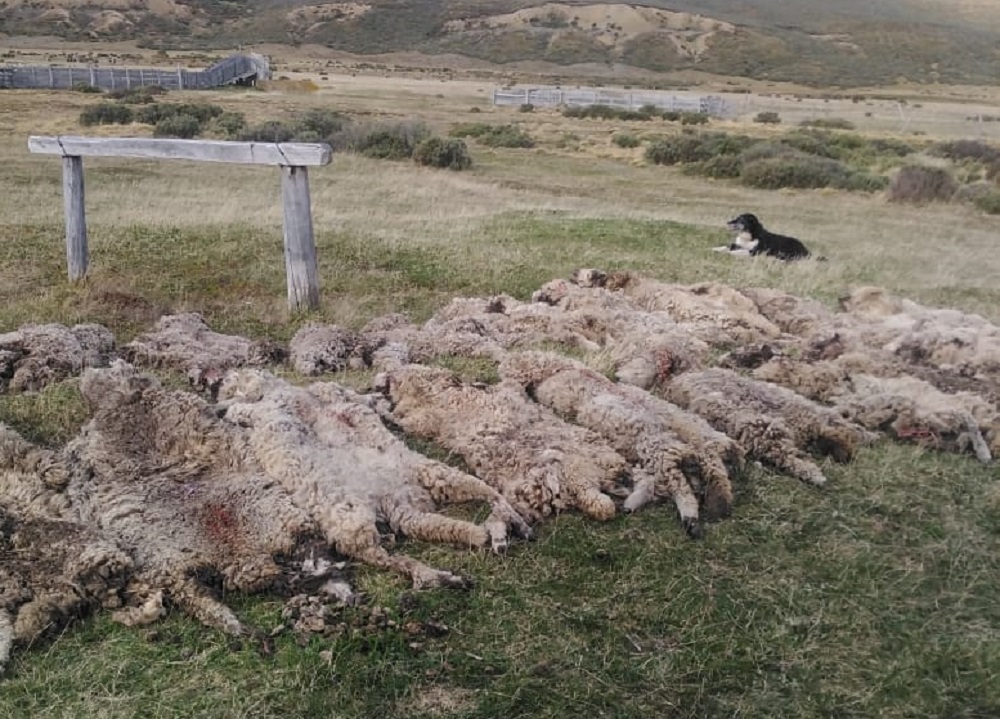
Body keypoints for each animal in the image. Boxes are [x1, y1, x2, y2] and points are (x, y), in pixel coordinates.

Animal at [218, 372, 532, 592]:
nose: (217, 395)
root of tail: (390, 501)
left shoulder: (275, 405)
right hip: (361, 517)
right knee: (390, 555)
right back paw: (449, 568)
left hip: (400, 493)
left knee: (489, 495)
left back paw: (506, 530)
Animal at [378, 366, 628, 524]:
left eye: (397, 379)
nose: (386, 379)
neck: (438, 392)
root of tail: (585, 482)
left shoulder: (427, 418)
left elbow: (406, 419)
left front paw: (384, 409)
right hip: (596, 457)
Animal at [500, 352, 744, 536]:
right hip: (679, 442)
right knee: (701, 465)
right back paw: (717, 496)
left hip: (656, 446)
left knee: (680, 479)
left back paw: (692, 514)